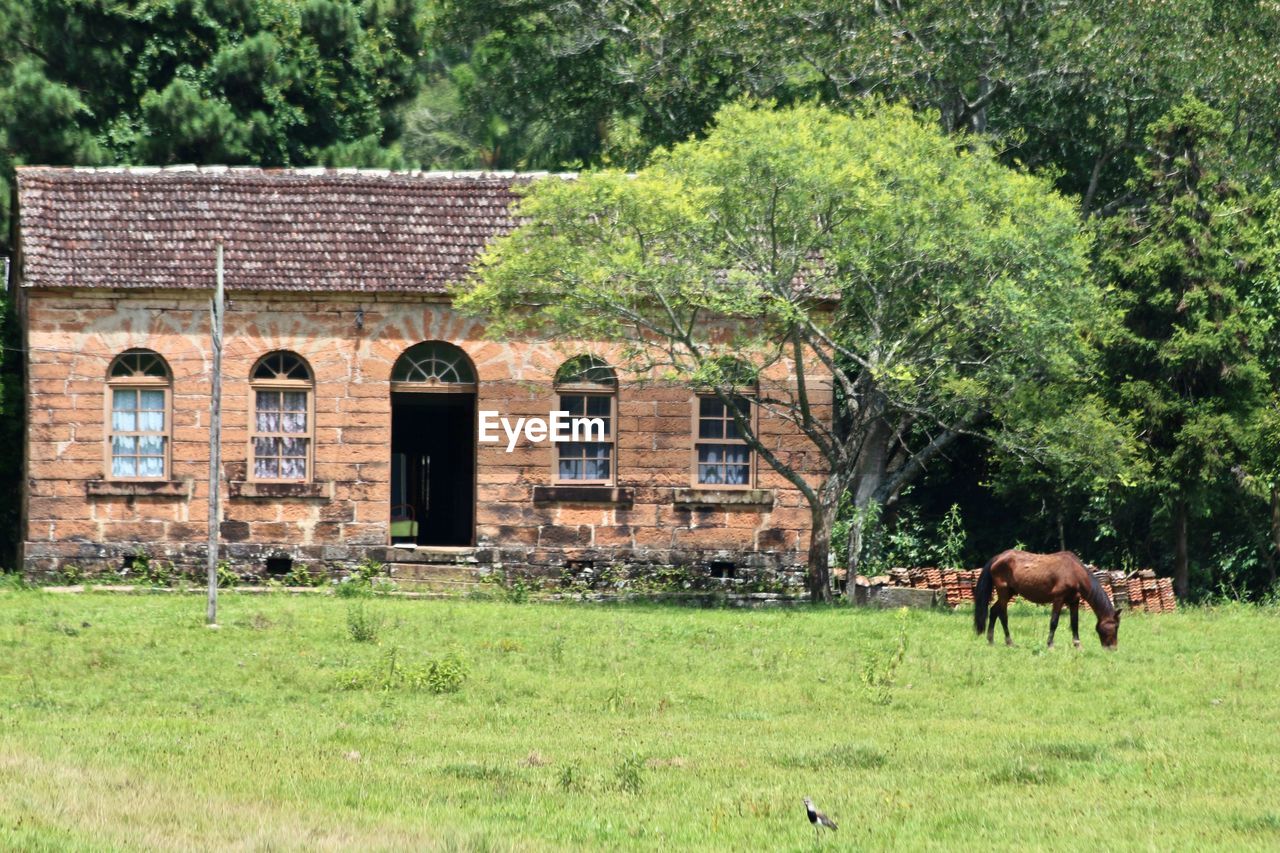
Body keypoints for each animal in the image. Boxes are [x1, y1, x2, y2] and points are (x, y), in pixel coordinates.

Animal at [967, 548, 1121, 648]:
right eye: (1115, 626)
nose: (1113, 648)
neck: (1074, 572)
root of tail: (998, 557)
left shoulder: (1074, 601)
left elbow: (1074, 623)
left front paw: (1077, 645)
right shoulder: (1058, 599)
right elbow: (1054, 622)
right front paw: (1050, 644)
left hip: (1009, 592)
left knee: (993, 611)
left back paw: (991, 640)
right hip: (1004, 592)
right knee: (1003, 615)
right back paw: (1009, 642)